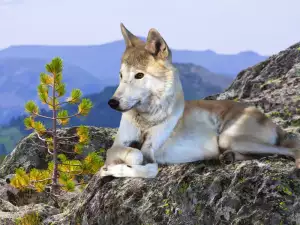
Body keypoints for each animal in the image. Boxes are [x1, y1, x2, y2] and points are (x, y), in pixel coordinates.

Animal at [99, 23, 300, 178]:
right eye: (121, 75)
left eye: (139, 75)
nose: (112, 102)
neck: (146, 121)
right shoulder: (117, 145)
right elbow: (121, 151)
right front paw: (114, 166)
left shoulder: (152, 156)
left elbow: (144, 164)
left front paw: (114, 169)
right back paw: (228, 157)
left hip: (229, 138)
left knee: (290, 150)